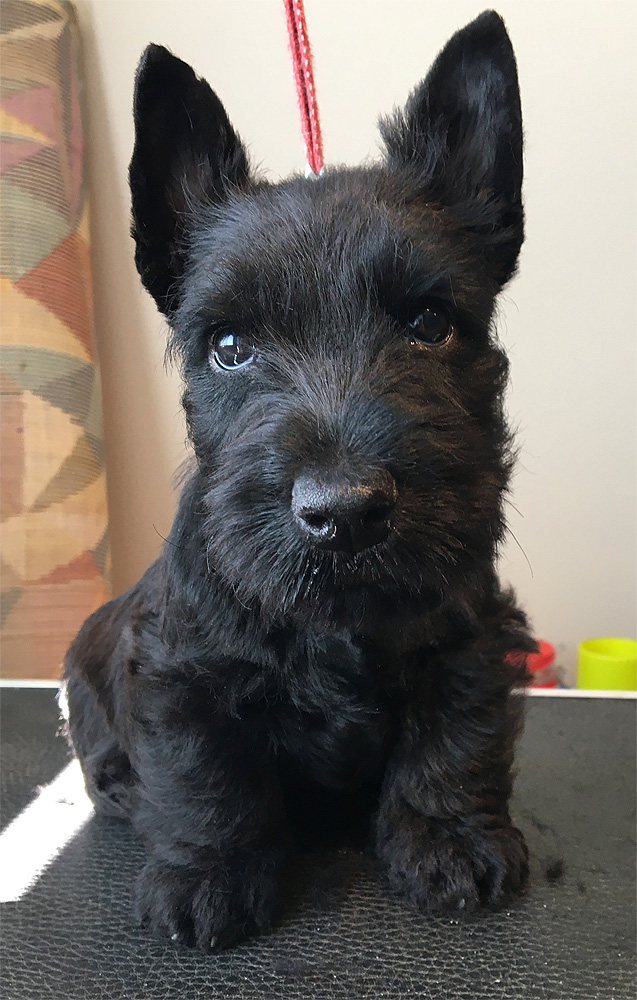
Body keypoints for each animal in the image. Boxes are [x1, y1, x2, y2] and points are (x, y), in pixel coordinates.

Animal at [63, 10, 534, 950]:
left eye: (430, 322)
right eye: (228, 346)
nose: (344, 513)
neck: (337, 617)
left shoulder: (468, 634)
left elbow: (456, 735)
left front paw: (450, 839)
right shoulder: (177, 670)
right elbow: (205, 776)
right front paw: (207, 873)